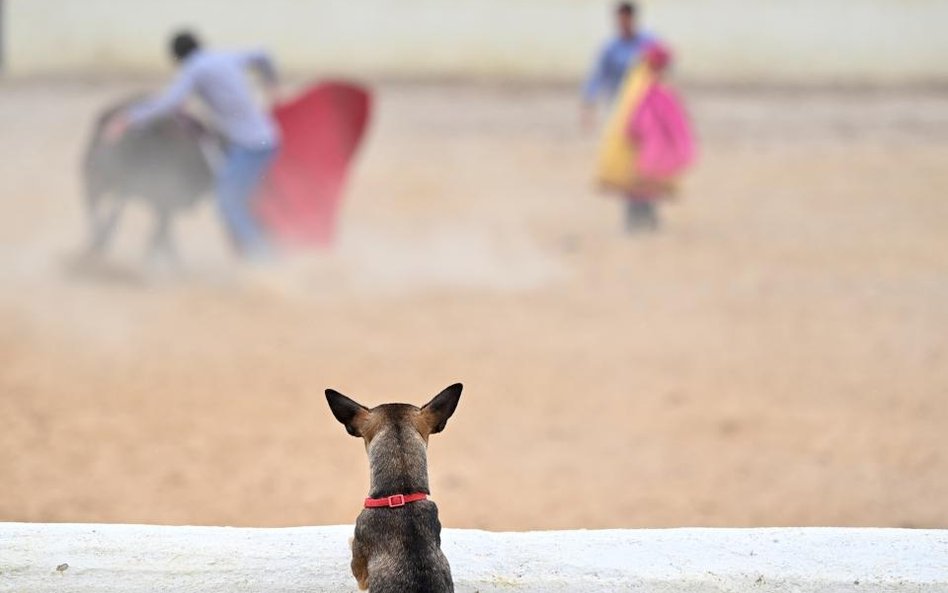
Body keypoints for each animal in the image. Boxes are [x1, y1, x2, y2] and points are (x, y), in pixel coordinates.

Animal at [83, 98, 218, 260]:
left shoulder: (161, 205)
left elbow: (160, 236)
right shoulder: (165, 204)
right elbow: (161, 235)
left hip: (100, 185)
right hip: (103, 185)